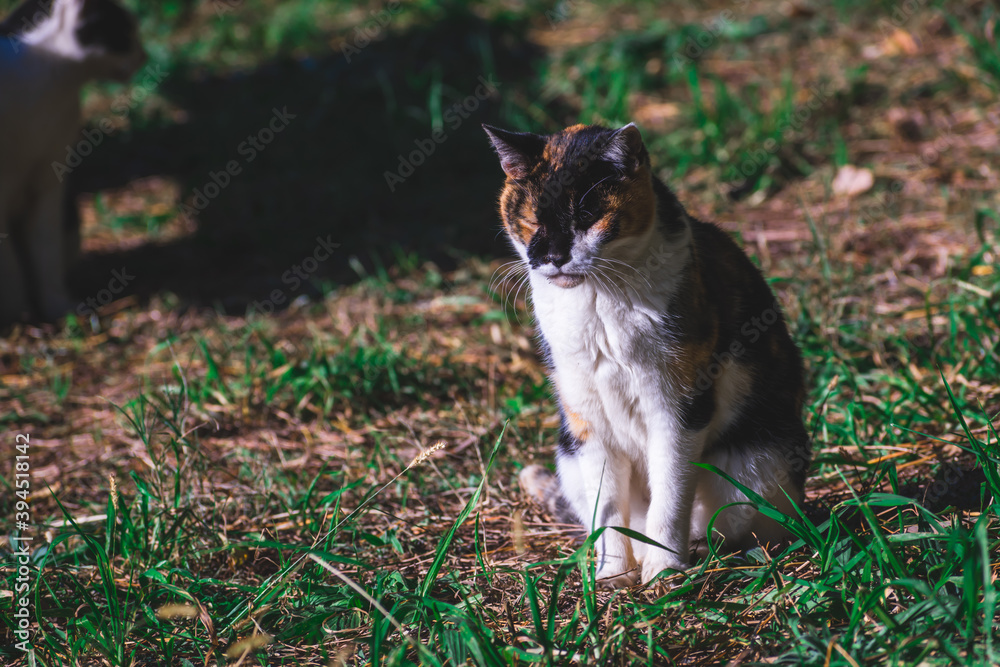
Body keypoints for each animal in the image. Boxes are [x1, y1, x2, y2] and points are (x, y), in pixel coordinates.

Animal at [0, 0, 146, 324]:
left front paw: (56, 308)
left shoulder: (50, 180)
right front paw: (13, 315)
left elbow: (46, 252)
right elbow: (10, 267)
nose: (145, 57)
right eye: (126, 33)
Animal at [486, 122, 812, 588]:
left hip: (757, 464)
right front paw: (613, 574)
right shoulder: (588, 419)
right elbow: (607, 509)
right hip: (568, 454)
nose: (550, 257)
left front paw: (664, 571)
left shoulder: (680, 407)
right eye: (529, 220)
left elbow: (671, 492)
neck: (600, 300)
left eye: (586, 216)